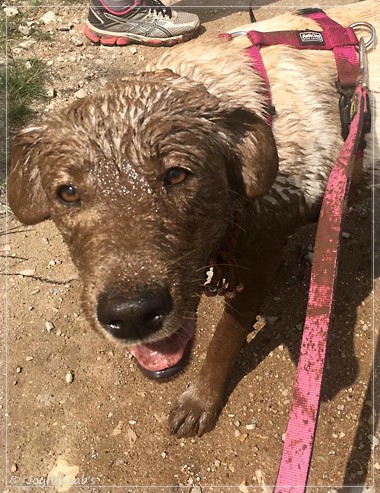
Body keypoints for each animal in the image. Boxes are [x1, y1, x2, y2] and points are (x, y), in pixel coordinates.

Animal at [8, 1, 378, 436]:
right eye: (67, 192)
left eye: (177, 174)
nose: (132, 315)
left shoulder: (260, 264)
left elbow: (224, 339)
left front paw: (200, 401)